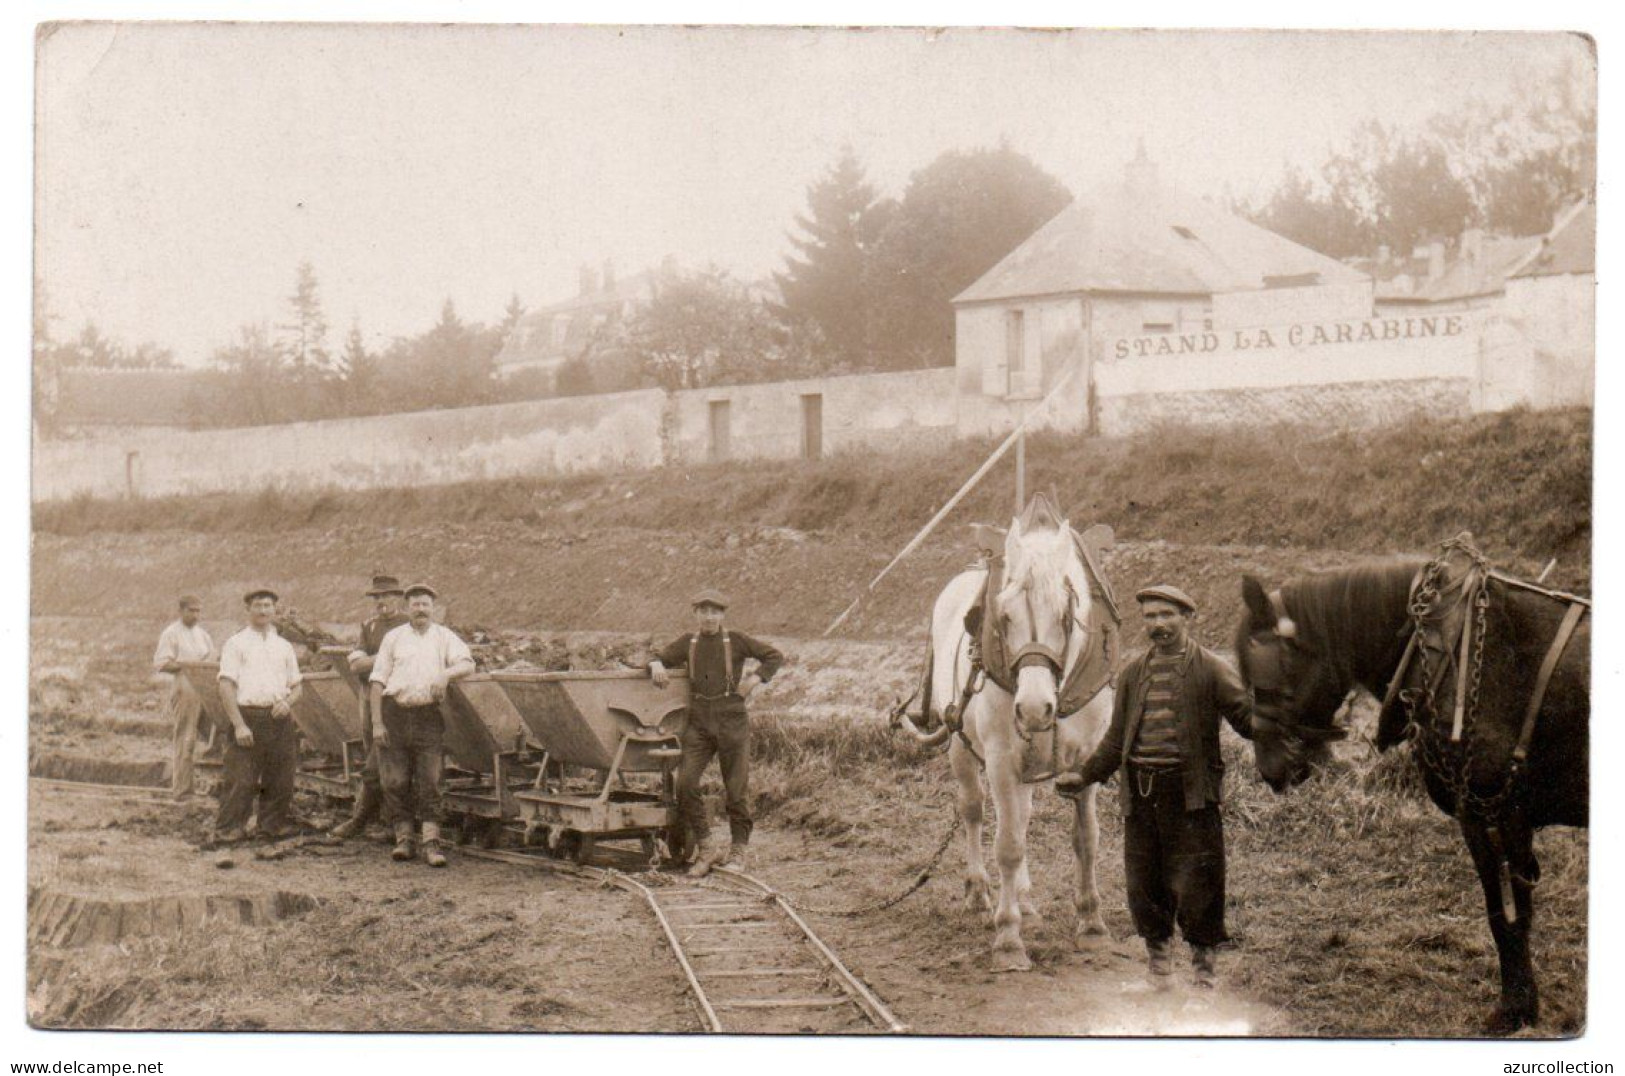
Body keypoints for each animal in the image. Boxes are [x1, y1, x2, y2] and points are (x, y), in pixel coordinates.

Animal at [910, 500, 1111, 975]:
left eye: (1066, 614)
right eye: (1003, 616)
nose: (1034, 708)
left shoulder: (1087, 759)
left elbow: (1086, 838)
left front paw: (1091, 922)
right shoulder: (1001, 759)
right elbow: (1007, 845)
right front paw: (1007, 937)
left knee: (1021, 815)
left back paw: (1026, 901)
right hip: (963, 748)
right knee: (975, 811)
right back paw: (981, 891)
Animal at [1235, 555, 1579, 1040]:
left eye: (1260, 676)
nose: (1269, 770)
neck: (1447, 652)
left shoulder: (1493, 812)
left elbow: (1507, 914)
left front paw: (1515, 1008)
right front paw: (1521, 1004)